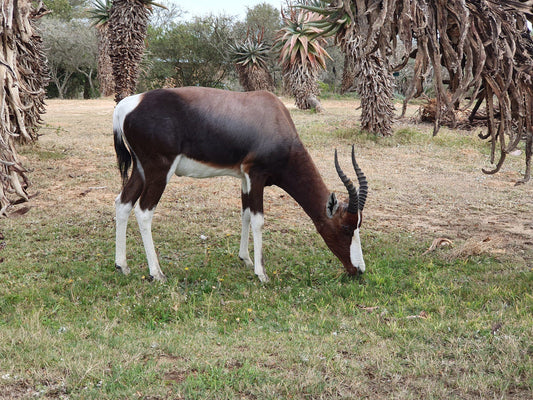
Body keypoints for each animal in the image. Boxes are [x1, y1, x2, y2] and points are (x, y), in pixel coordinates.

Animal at [114, 87, 368, 282]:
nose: (359, 270)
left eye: (358, 226)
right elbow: (258, 220)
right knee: (144, 211)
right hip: (159, 171)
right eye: (346, 228)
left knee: (123, 203)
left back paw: (122, 266)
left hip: (140, 169)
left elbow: (245, 213)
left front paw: (245, 259)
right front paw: (261, 274)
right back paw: (157, 274)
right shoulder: (256, 175)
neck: (273, 115)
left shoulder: (245, 178)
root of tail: (126, 106)